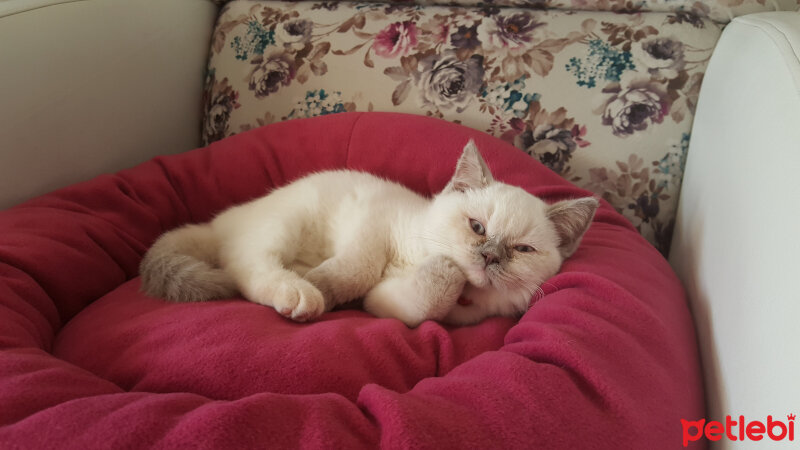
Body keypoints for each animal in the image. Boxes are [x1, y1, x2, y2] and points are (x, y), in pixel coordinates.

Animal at [141, 142, 596, 326]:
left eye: (522, 249)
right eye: (477, 227)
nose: (488, 257)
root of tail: (223, 220)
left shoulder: (397, 305)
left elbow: (424, 301)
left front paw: (445, 271)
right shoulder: (374, 221)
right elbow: (356, 269)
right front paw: (325, 287)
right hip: (288, 222)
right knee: (246, 267)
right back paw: (303, 293)